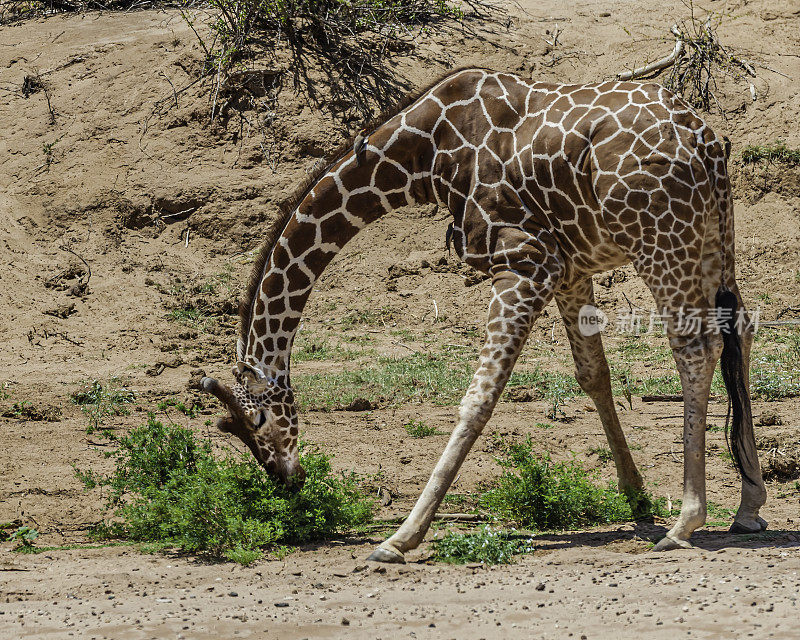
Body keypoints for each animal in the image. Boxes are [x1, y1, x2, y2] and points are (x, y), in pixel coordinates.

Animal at [197, 67, 764, 564]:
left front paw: (401, 537)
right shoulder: (569, 266)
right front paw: (635, 495)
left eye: (258, 419)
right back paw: (748, 506)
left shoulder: (525, 261)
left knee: (696, 349)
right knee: (738, 335)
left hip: (660, 242)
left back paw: (686, 523)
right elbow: (593, 374)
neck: (424, 157)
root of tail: (703, 140)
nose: (285, 479)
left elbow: (478, 397)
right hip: (714, 241)